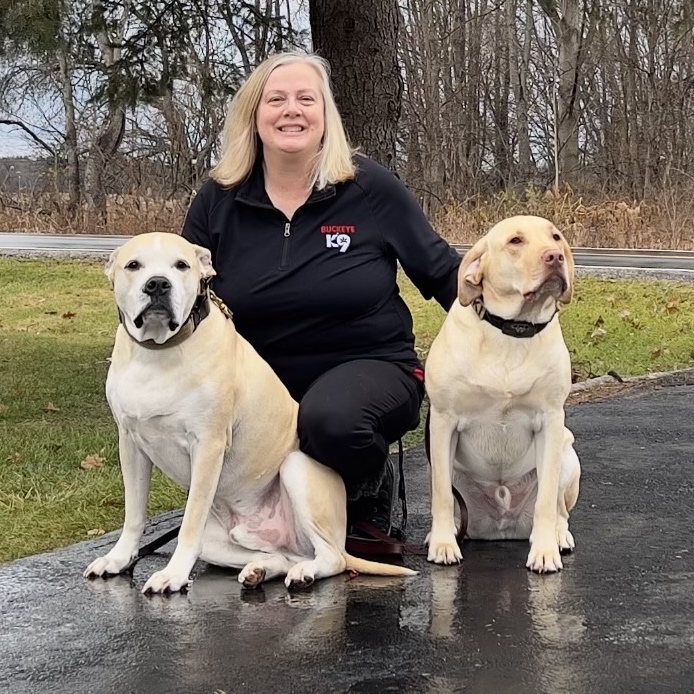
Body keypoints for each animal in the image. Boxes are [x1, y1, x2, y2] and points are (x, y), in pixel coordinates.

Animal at [84, 232, 416, 592]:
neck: (158, 352)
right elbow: (133, 514)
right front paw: (119, 558)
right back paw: (260, 569)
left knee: (332, 558)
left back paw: (306, 572)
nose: (157, 284)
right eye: (134, 265)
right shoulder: (130, 444)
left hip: (296, 469)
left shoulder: (208, 445)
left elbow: (189, 525)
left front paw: (173, 574)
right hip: (220, 542)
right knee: (283, 557)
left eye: (181, 265)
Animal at [426, 215, 584, 572]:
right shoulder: (443, 421)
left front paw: (544, 551)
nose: (555, 257)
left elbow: (546, 500)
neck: (512, 332)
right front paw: (442, 544)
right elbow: (441, 494)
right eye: (515, 241)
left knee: (559, 508)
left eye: (556, 237)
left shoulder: (550, 422)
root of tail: (502, 526)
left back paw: (559, 535)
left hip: (568, 452)